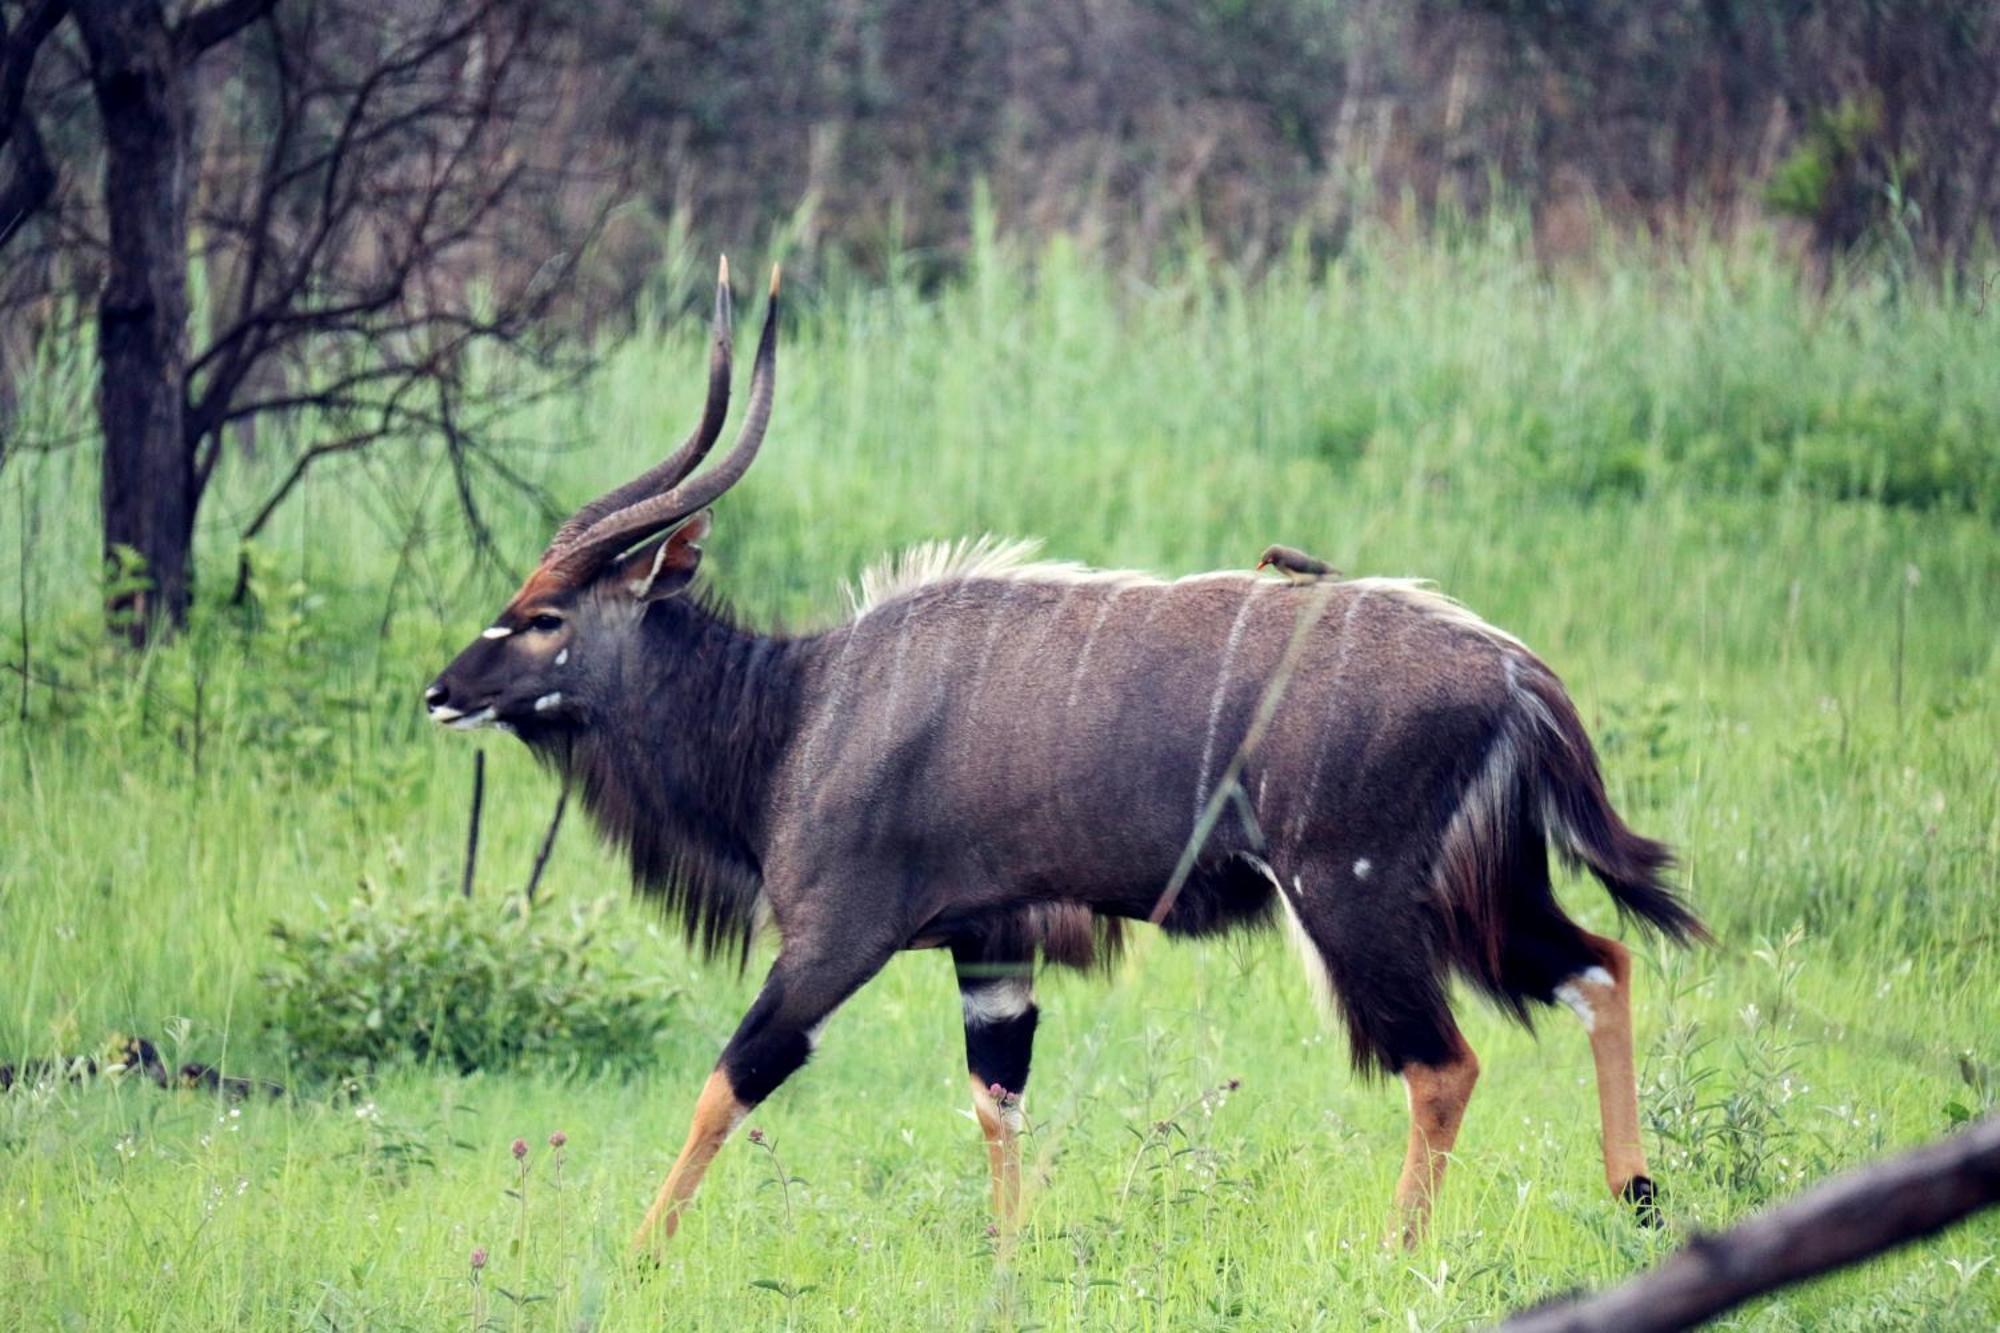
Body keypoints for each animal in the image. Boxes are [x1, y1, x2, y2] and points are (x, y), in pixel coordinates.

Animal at [422, 256, 1704, 1248]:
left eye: (543, 615)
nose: (440, 692)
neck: (794, 714)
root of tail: (1516, 672)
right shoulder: (990, 950)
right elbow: (997, 1105)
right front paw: (1008, 1259)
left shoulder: (835, 939)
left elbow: (726, 1081)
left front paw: (639, 1255)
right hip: (1481, 890)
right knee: (1600, 966)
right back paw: (1636, 1197)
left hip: (1357, 898)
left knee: (1443, 1064)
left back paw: (1398, 1253)